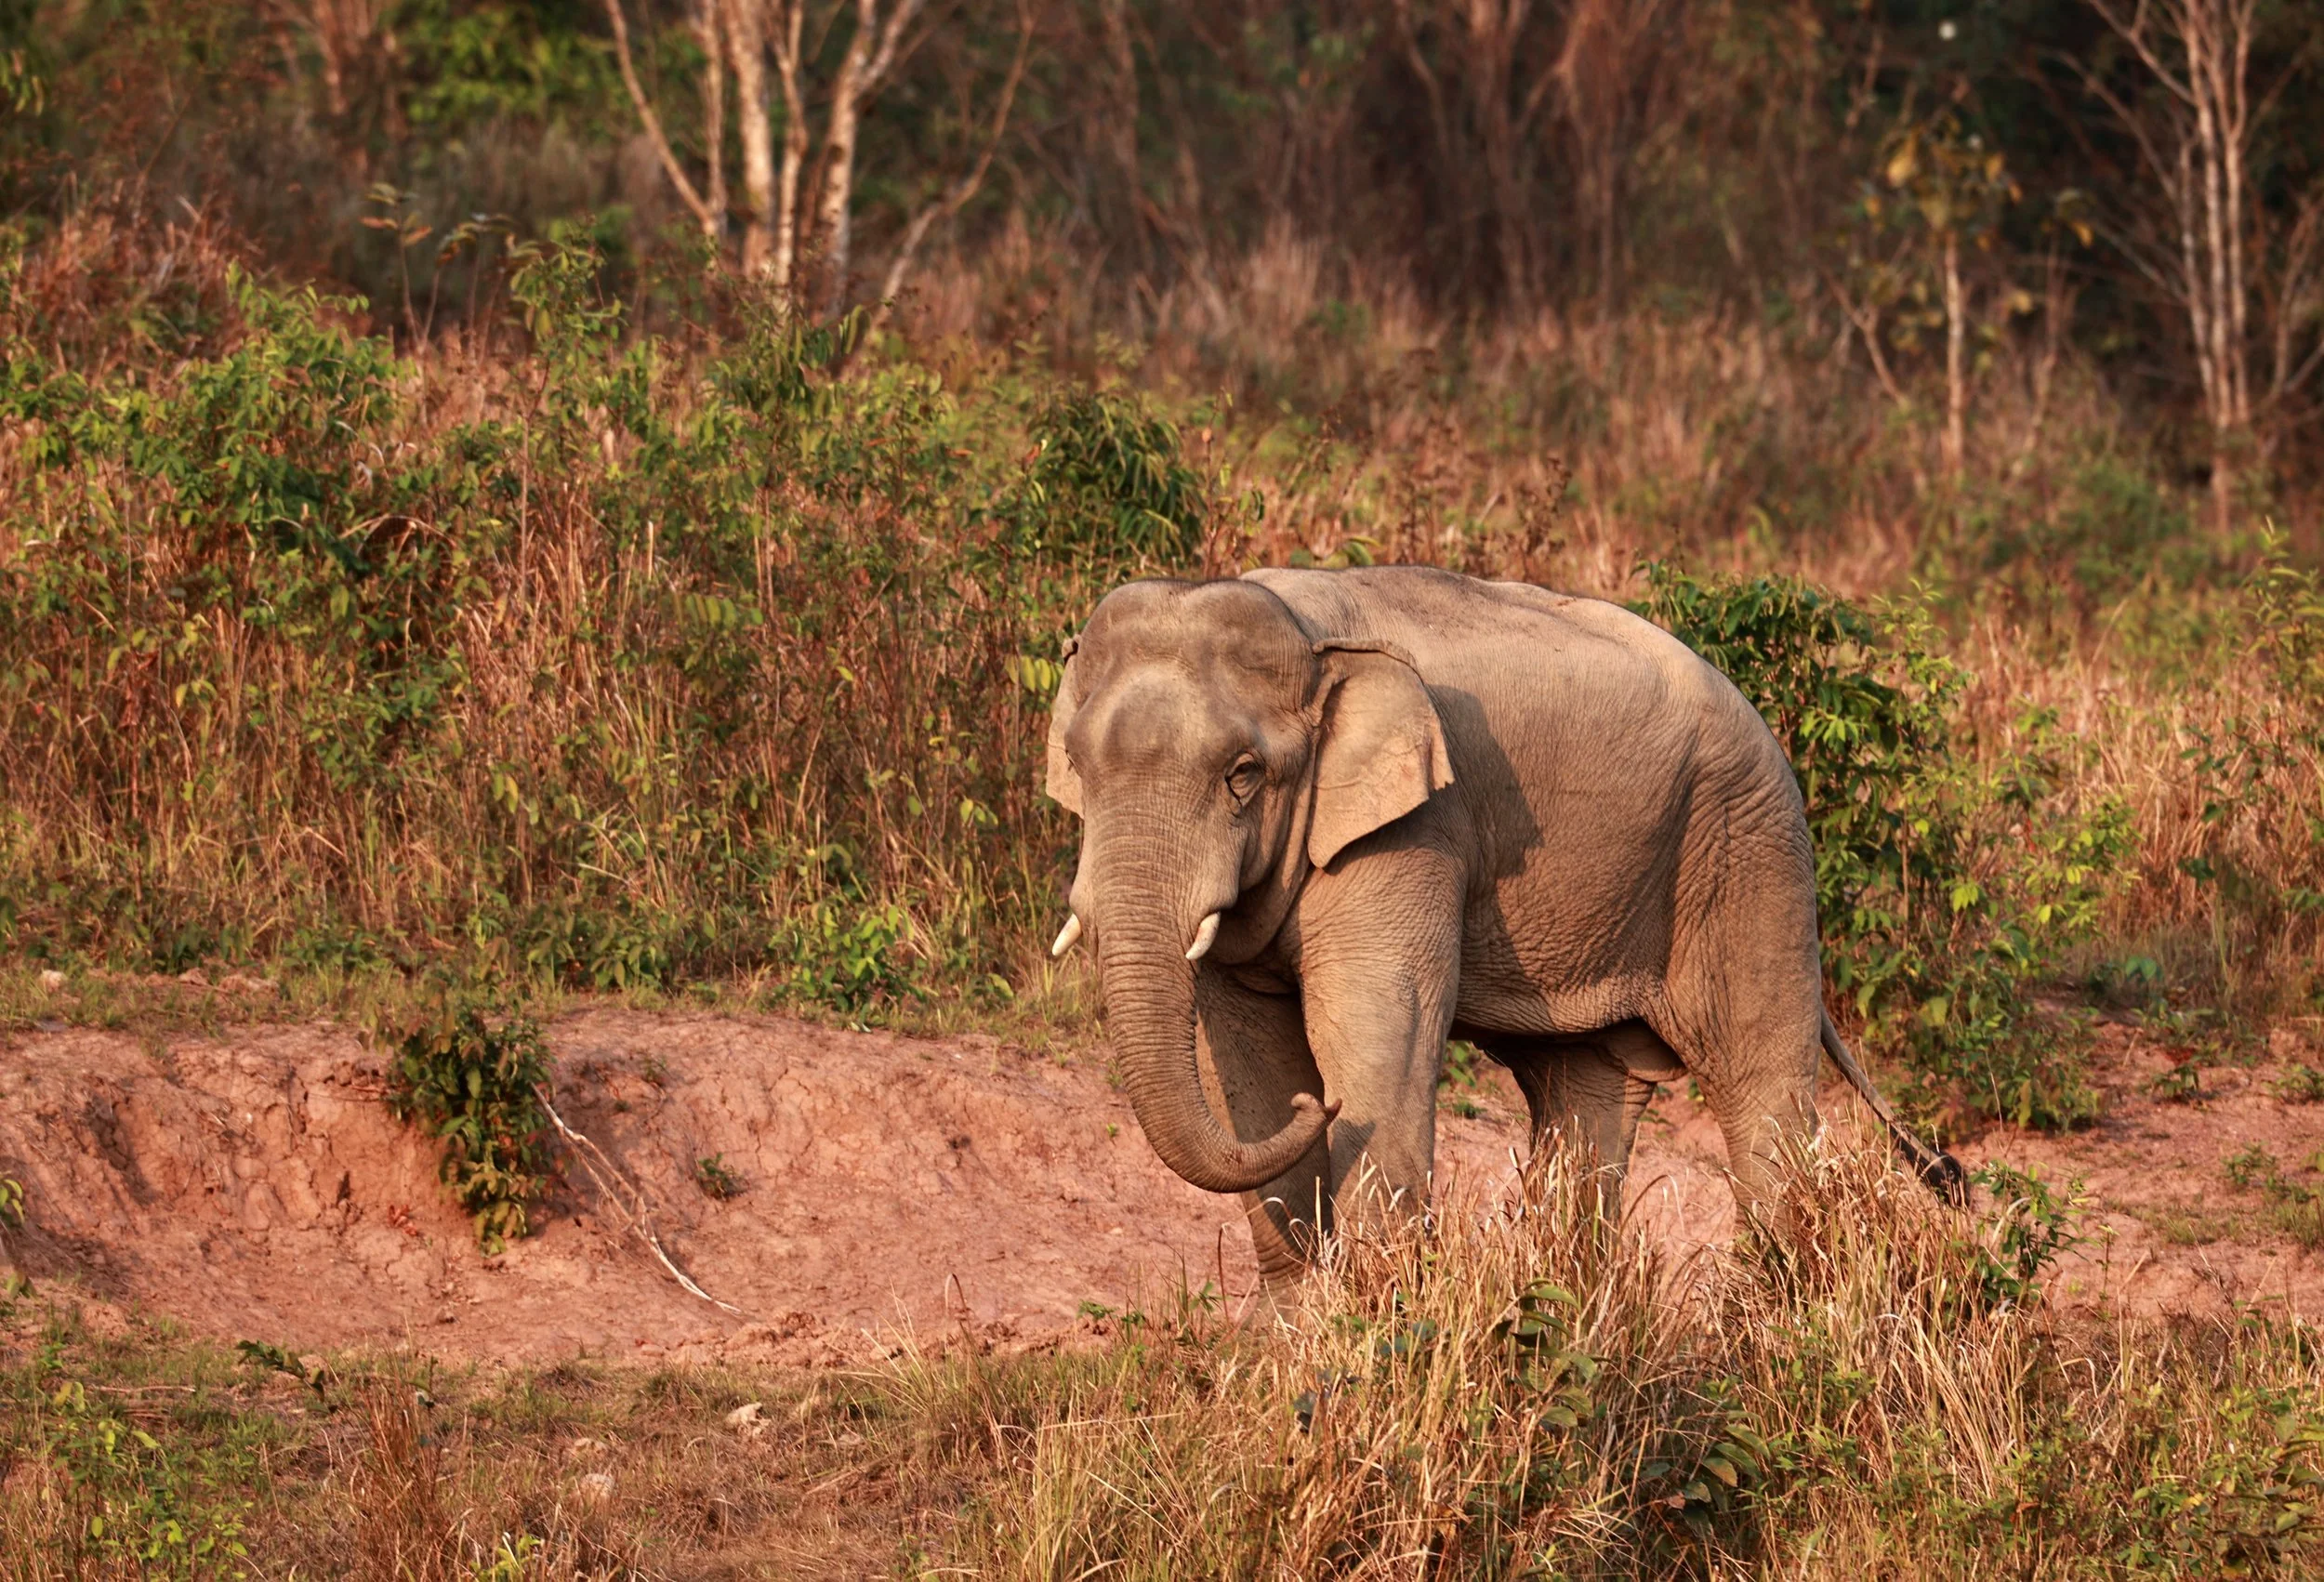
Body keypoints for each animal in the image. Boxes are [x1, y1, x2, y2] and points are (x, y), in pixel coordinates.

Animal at [1044, 564, 1961, 1281]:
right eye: (1079, 765)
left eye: (1243, 775)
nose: (1322, 1105)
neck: (1309, 637)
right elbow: (1244, 1055)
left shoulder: (1418, 827)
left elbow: (1377, 1027)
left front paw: (1370, 1329)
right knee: (1585, 1094)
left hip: (1749, 857)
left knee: (1760, 1082)